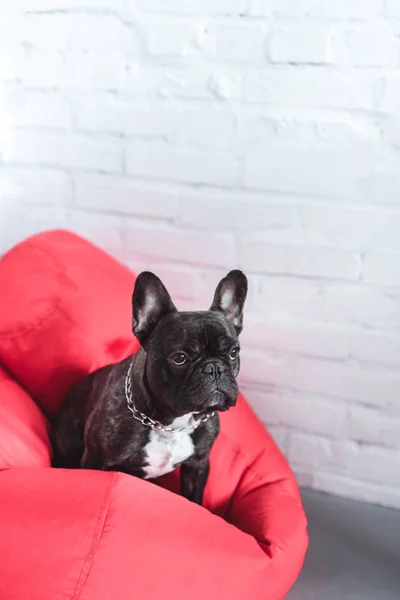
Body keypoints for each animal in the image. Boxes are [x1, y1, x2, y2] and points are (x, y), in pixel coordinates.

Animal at [52, 270, 247, 504]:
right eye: (179, 358)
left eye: (233, 352)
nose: (214, 368)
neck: (170, 424)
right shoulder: (96, 459)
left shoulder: (198, 464)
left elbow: (194, 500)